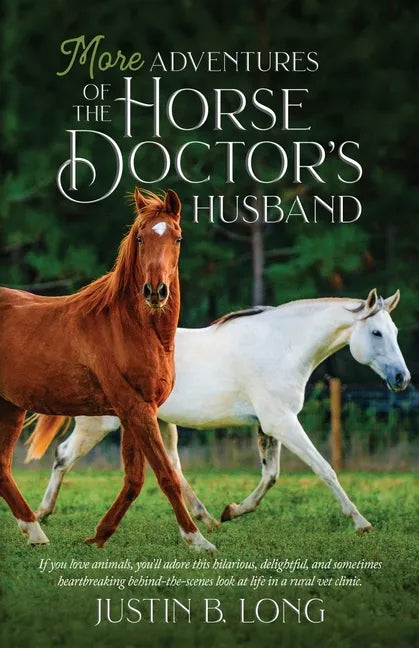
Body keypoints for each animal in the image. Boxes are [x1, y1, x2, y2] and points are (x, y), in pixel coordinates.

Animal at [0, 188, 215, 553]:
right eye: (140, 238)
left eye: (177, 237)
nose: (155, 291)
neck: (130, 329)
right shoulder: (136, 409)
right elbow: (165, 476)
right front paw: (197, 540)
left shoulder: (137, 411)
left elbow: (135, 479)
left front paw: (99, 536)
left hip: (11, 407)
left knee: (2, 466)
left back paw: (36, 534)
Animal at [25, 288, 410, 542]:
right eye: (376, 332)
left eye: (395, 332)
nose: (402, 379)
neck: (281, 347)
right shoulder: (283, 422)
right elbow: (325, 469)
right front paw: (360, 521)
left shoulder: (268, 427)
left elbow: (270, 476)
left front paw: (232, 510)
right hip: (100, 424)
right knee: (63, 456)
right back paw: (41, 514)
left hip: (160, 424)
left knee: (172, 468)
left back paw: (207, 520)